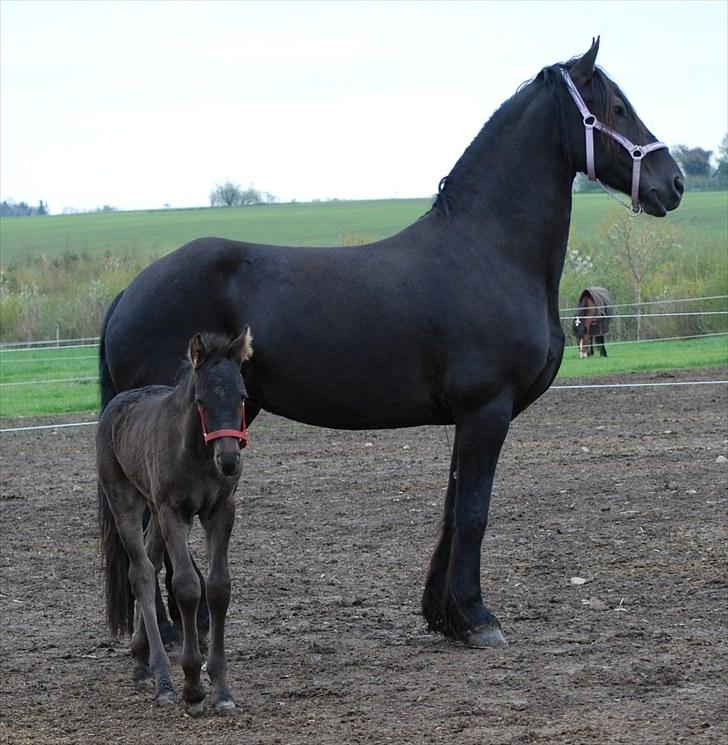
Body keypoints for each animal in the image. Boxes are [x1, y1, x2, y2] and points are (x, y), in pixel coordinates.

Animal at [99, 39, 684, 644]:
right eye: (616, 108)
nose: (674, 182)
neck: (489, 251)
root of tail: (128, 293)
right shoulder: (487, 409)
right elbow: (474, 512)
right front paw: (478, 617)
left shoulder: (468, 418)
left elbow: (453, 508)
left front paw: (445, 615)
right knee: (151, 523)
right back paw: (170, 633)